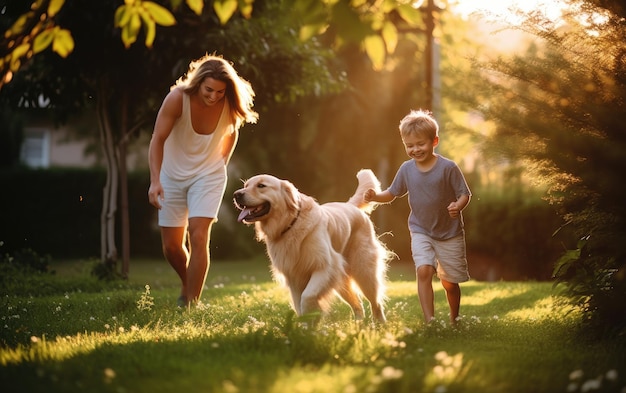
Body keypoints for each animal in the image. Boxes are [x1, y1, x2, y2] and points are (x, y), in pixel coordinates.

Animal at [234, 168, 390, 322]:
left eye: (261, 186)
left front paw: (312, 320)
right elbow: (299, 304)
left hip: (363, 270)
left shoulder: (325, 267)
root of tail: (350, 205)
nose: (236, 194)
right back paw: (358, 324)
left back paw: (380, 324)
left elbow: (307, 298)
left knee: (375, 302)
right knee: (358, 304)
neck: (290, 224)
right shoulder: (294, 277)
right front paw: (306, 326)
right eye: (246, 185)